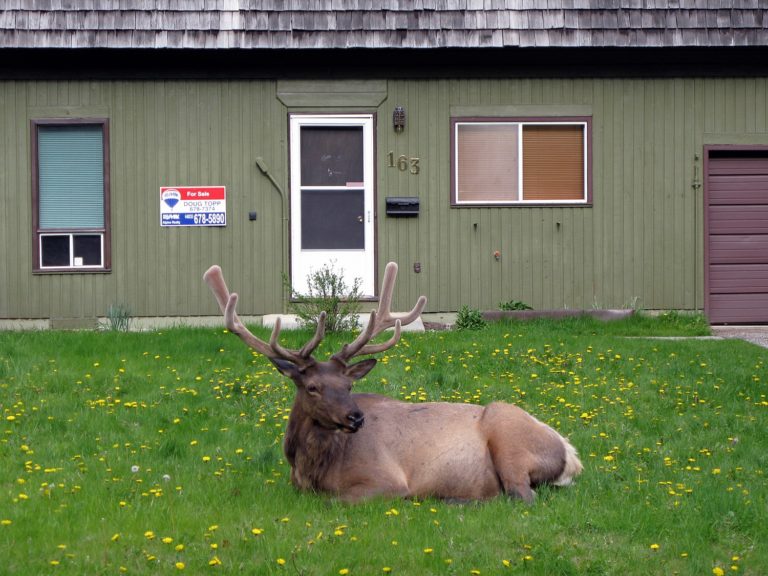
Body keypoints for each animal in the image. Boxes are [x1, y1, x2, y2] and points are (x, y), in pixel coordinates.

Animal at [204, 264, 584, 502]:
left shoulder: (384, 480)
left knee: (521, 496)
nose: (356, 417)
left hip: (508, 439)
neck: (310, 469)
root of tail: (572, 455)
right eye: (312, 387)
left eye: (348, 386)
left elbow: (333, 501)